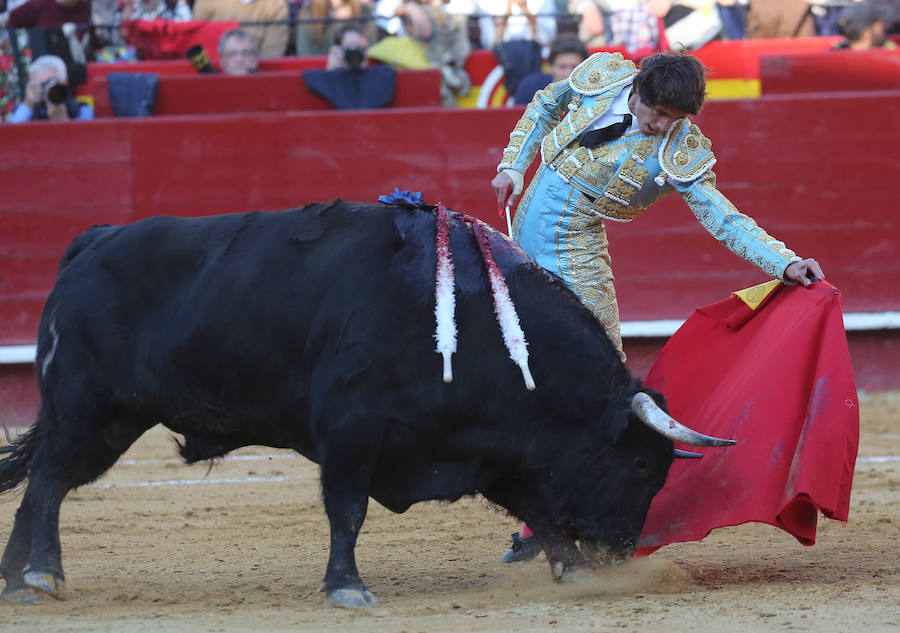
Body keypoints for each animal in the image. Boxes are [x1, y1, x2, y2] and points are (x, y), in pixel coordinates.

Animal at [0, 200, 732, 604]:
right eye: (639, 465)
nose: (620, 554)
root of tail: (91, 241)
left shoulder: (486, 444)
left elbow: (536, 507)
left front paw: (573, 569)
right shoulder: (351, 429)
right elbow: (347, 509)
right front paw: (346, 586)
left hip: (110, 419)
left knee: (46, 484)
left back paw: (21, 581)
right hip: (88, 408)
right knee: (49, 481)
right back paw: (41, 573)